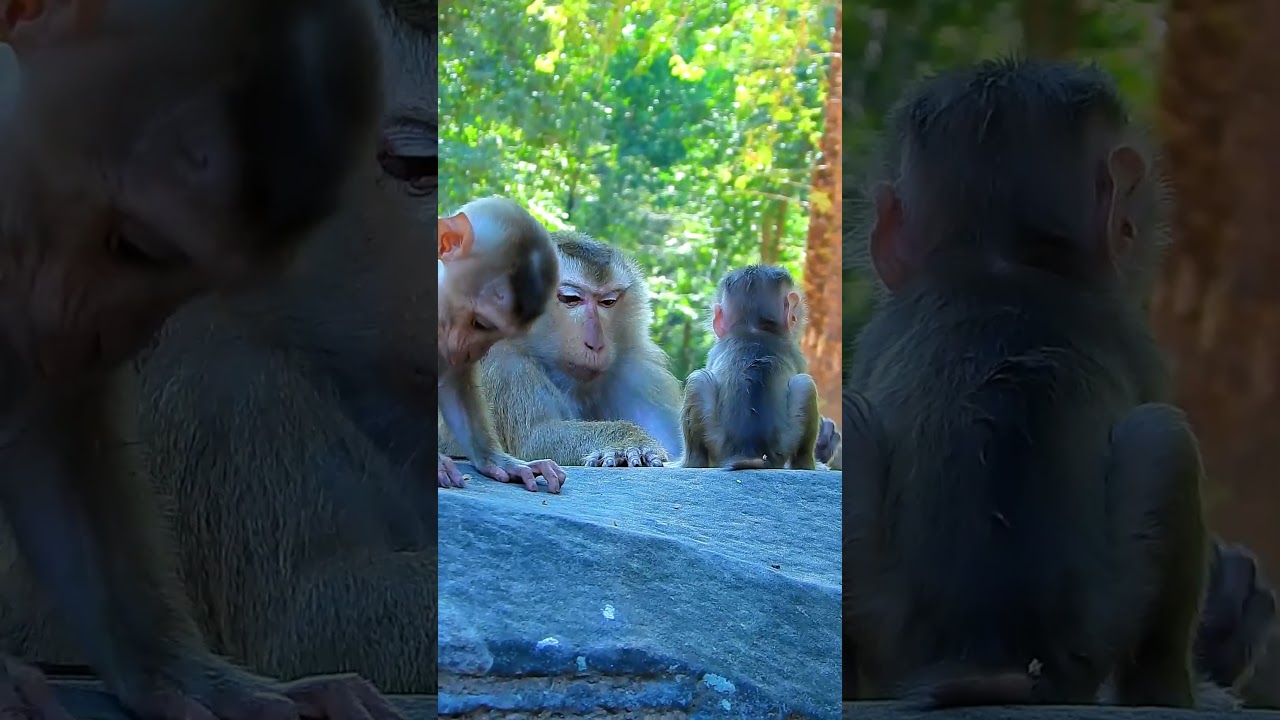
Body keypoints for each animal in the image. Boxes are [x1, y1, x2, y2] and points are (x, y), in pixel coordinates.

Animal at [440, 231, 686, 468]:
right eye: (571, 298)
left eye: (608, 301)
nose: (595, 344)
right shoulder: (504, 366)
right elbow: (537, 438)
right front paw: (627, 441)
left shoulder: (638, 372)